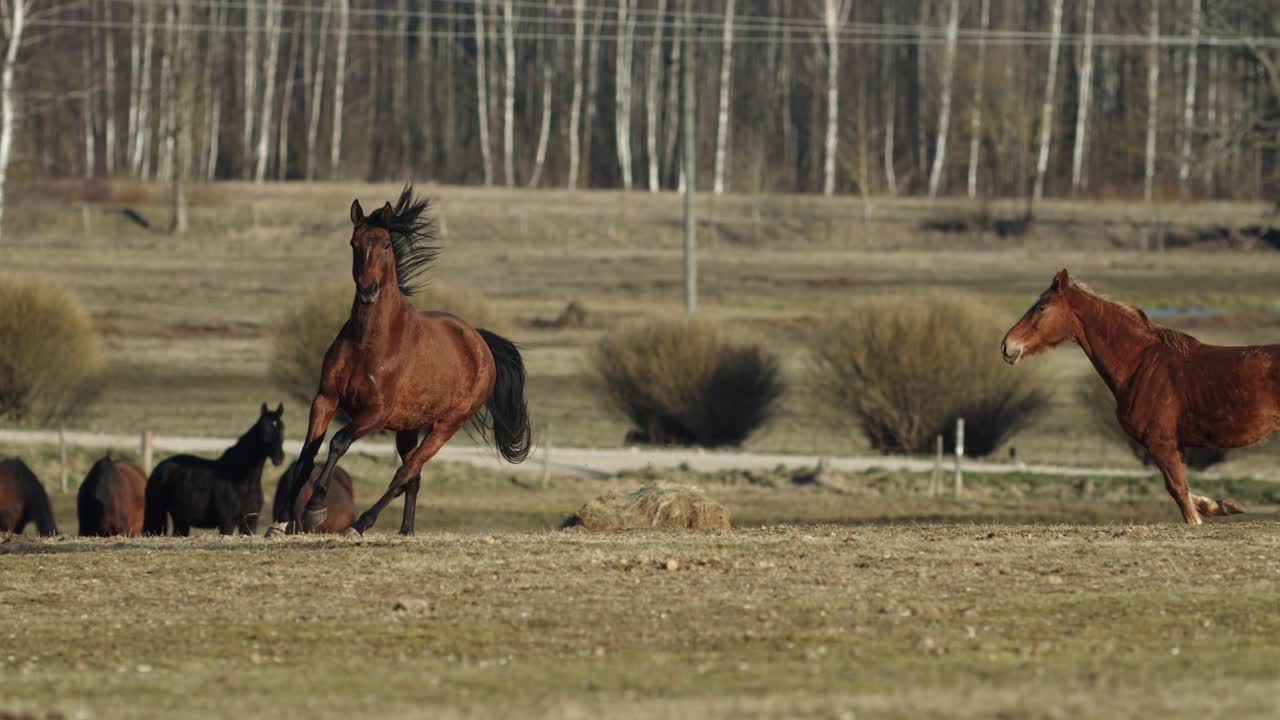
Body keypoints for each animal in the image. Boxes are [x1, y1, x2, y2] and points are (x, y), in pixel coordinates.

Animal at [144, 404, 285, 536]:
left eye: (282, 430)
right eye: (264, 430)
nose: (279, 458)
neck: (241, 480)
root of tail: (159, 467)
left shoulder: (250, 523)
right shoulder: (227, 523)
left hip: (181, 519)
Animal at [266, 185, 531, 538]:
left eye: (386, 244)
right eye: (354, 243)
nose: (368, 290)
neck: (368, 342)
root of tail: (480, 342)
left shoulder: (375, 413)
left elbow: (338, 442)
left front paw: (315, 508)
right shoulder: (325, 399)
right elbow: (306, 457)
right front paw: (282, 522)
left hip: (446, 425)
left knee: (405, 473)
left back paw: (360, 525)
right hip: (410, 426)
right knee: (413, 478)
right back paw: (406, 530)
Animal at [1001, 269, 1273, 525]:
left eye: (1042, 307)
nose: (1007, 346)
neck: (1142, 363)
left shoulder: (1161, 443)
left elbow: (1179, 493)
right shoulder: (1174, 446)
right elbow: (1186, 491)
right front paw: (1223, 506)